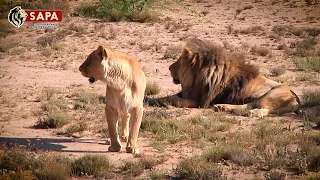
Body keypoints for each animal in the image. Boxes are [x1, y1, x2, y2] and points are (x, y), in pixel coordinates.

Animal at [146, 38, 302, 118]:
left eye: (178, 62)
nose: (169, 68)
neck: (197, 78)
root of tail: (297, 100)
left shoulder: (201, 101)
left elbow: (174, 99)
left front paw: (163, 102)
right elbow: (167, 96)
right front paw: (149, 100)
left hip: (272, 94)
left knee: (263, 109)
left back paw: (253, 113)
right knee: (248, 105)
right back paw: (223, 107)